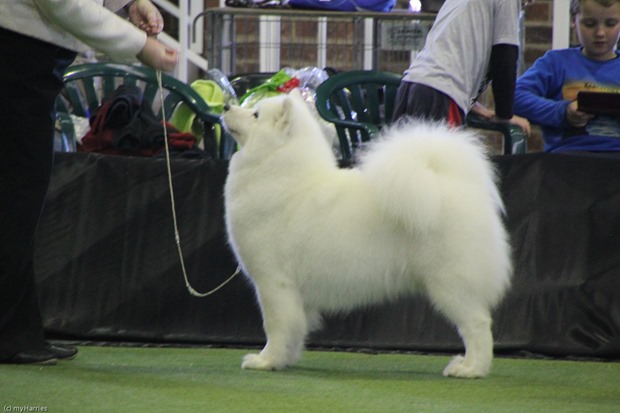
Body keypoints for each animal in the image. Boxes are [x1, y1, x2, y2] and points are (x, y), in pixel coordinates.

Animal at [220, 89, 512, 376]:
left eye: (255, 114)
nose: (225, 107)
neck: (280, 173)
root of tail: (456, 183)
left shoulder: (273, 282)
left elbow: (276, 326)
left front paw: (265, 361)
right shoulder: (294, 294)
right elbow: (295, 329)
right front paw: (285, 360)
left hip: (450, 283)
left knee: (477, 324)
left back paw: (471, 368)